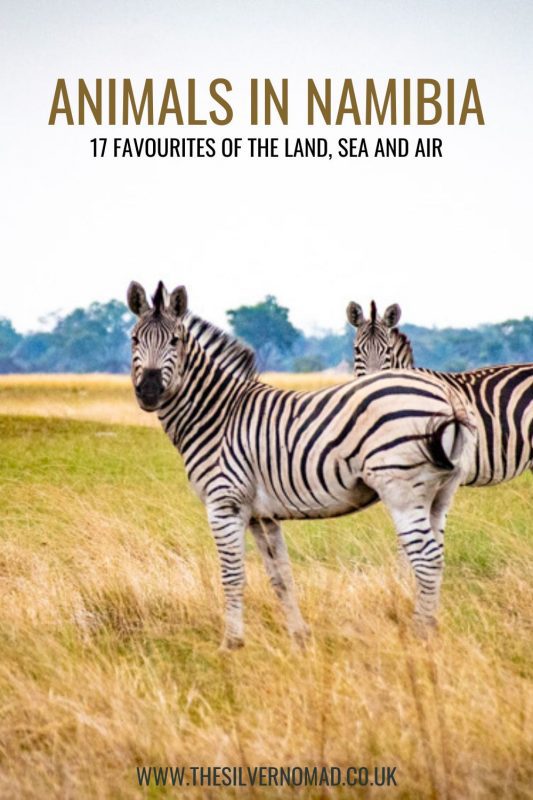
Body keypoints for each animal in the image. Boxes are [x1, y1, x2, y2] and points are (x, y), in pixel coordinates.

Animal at [127, 280, 476, 649]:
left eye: (174, 341)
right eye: (134, 339)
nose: (148, 391)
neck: (218, 415)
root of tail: (447, 395)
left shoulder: (224, 503)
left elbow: (233, 576)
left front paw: (231, 644)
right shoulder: (261, 514)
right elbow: (280, 575)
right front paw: (299, 637)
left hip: (402, 492)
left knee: (427, 560)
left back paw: (420, 637)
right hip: (439, 495)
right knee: (436, 557)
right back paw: (431, 631)